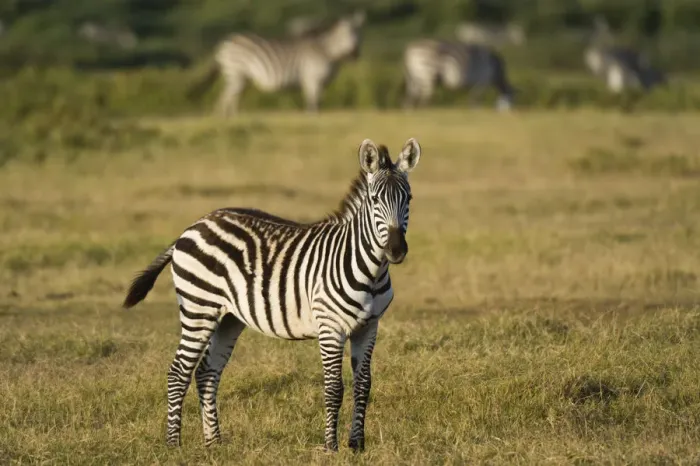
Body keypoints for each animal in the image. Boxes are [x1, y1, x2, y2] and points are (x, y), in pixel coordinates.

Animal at [122, 137, 422, 451]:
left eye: (409, 199)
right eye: (375, 200)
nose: (396, 251)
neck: (369, 270)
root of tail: (193, 226)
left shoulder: (369, 327)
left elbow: (363, 386)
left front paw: (357, 446)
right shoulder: (330, 327)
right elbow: (334, 388)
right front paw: (330, 447)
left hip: (229, 318)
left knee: (207, 372)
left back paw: (214, 442)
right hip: (199, 309)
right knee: (178, 371)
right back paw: (174, 444)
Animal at [187, 12, 365, 116]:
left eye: (358, 33)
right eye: (345, 34)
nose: (356, 54)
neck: (326, 52)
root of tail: (226, 41)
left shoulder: (323, 83)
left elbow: (319, 103)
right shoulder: (311, 79)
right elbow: (312, 103)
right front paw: (312, 120)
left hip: (241, 77)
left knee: (232, 97)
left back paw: (235, 118)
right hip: (236, 72)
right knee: (225, 97)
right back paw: (225, 119)